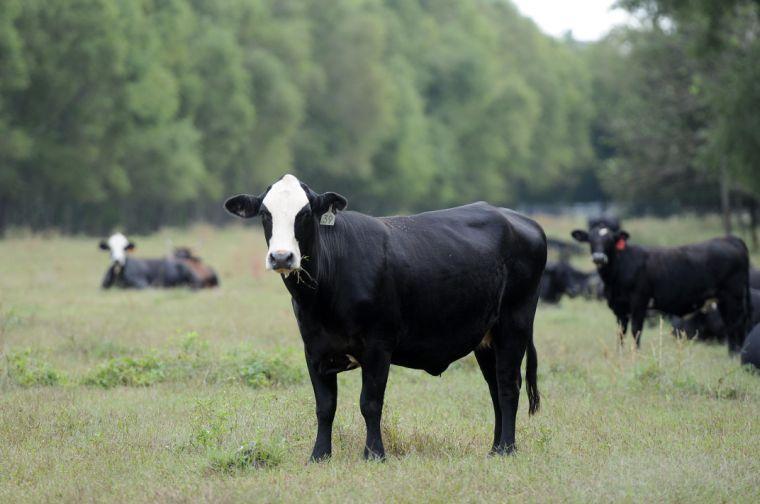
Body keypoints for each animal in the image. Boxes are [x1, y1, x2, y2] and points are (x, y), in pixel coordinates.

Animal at [572, 226, 752, 352]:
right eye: (590, 240)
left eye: (610, 240)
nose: (598, 257)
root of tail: (730, 238)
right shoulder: (618, 307)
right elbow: (621, 332)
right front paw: (620, 354)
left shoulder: (639, 302)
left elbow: (636, 330)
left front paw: (636, 354)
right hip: (723, 298)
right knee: (730, 323)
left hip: (733, 295)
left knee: (737, 323)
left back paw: (737, 354)